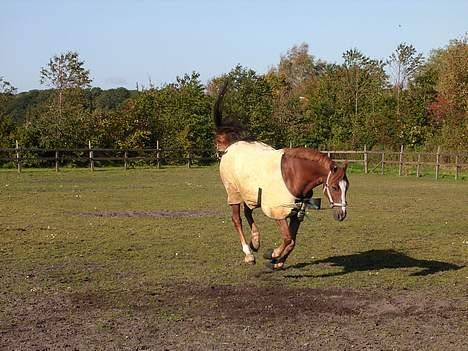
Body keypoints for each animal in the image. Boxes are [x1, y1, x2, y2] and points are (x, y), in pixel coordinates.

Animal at [214, 81, 350, 270]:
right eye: (335, 187)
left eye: (347, 187)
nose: (341, 214)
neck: (294, 174)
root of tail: (231, 146)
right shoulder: (279, 211)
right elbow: (287, 239)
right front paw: (273, 255)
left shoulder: (296, 214)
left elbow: (292, 241)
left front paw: (277, 261)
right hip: (233, 191)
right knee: (237, 219)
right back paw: (249, 253)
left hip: (252, 194)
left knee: (248, 212)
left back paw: (256, 241)